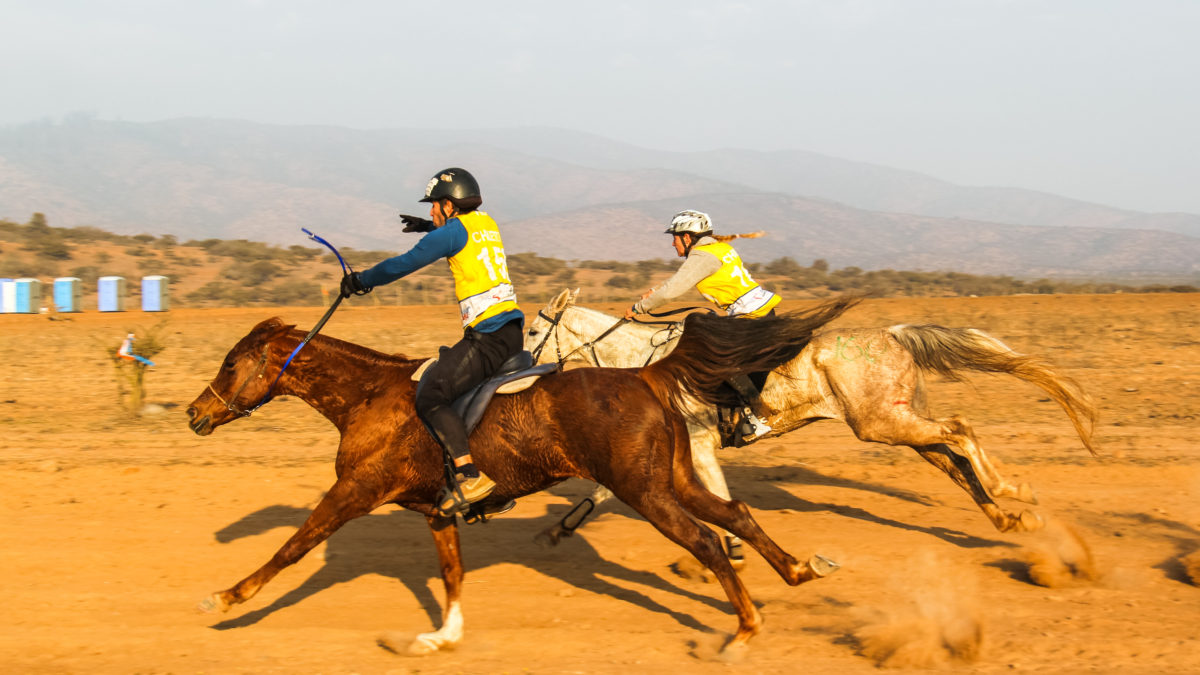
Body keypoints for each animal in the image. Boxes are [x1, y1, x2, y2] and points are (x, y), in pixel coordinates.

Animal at [184, 297, 854, 653]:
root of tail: (644, 375)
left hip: (645, 491)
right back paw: (799, 570)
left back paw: (743, 631)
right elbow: (452, 573)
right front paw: (441, 639)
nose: (195, 413)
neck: (367, 395)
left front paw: (227, 597)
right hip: (674, 480)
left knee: (708, 541)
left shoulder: (353, 491)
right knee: (734, 515)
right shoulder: (435, 511)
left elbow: (293, 547)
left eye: (231, 362)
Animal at [525, 285, 1099, 559]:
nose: (522, 368)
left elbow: (712, 496)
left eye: (532, 329)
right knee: (954, 461)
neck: (647, 363)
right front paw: (559, 528)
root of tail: (894, 334)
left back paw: (1015, 492)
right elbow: (603, 493)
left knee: (960, 431)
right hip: (899, 420)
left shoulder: (697, 447)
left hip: (881, 424)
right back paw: (1009, 520)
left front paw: (736, 548)